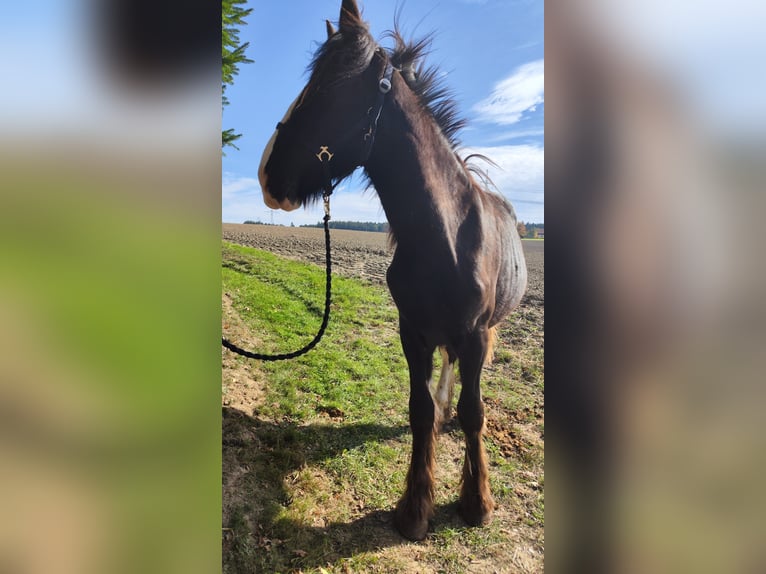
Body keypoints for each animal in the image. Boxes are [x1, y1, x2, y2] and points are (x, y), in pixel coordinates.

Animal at [258, 0, 527, 541]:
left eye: (325, 89)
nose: (265, 175)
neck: (445, 238)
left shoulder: (476, 335)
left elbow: (475, 412)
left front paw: (477, 502)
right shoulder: (412, 331)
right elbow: (421, 410)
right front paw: (415, 508)